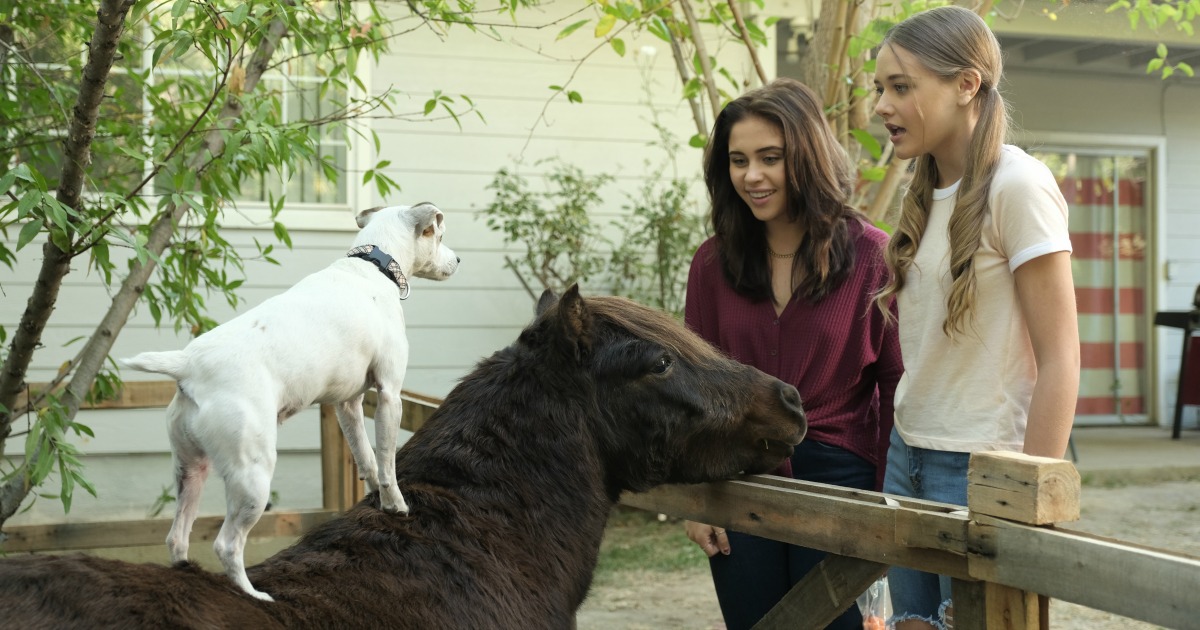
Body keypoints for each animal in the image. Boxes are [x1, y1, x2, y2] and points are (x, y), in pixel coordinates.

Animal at [121, 201, 458, 600]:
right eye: (439, 235)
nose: (458, 260)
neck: (373, 267)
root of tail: (188, 364)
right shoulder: (390, 394)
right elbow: (387, 462)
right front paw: (396, 506)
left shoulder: (348, 405)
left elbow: (366, 458)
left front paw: (374, 494)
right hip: (253, 475)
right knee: (227, 545)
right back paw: (253, 594)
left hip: (190, 470)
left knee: (177, 537)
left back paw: (187, 573)